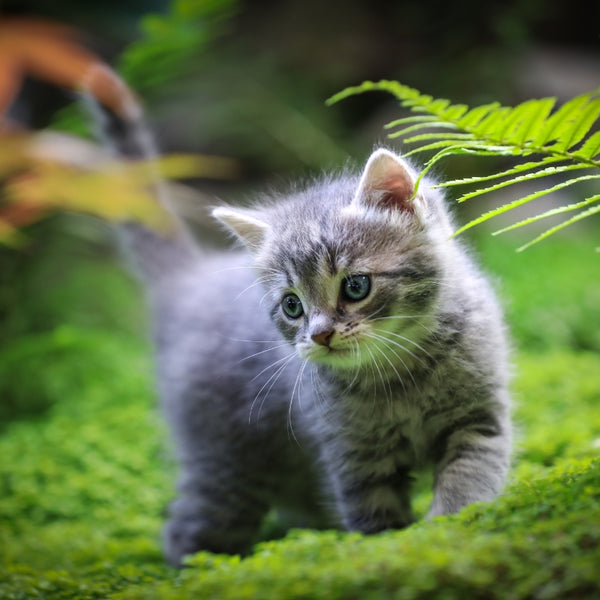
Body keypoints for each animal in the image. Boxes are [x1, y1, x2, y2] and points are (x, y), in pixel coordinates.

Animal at [98, 91, 510, 564]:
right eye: (292, 305)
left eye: (356, 286)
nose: (320, 335)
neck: (400, 373)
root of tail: (191, 282)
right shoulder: (351, 455)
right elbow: (374, 517)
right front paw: (392, 550)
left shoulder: (479, 417)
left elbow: (471, 476)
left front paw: (452, 528)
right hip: (227, 468)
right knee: (188, 530)